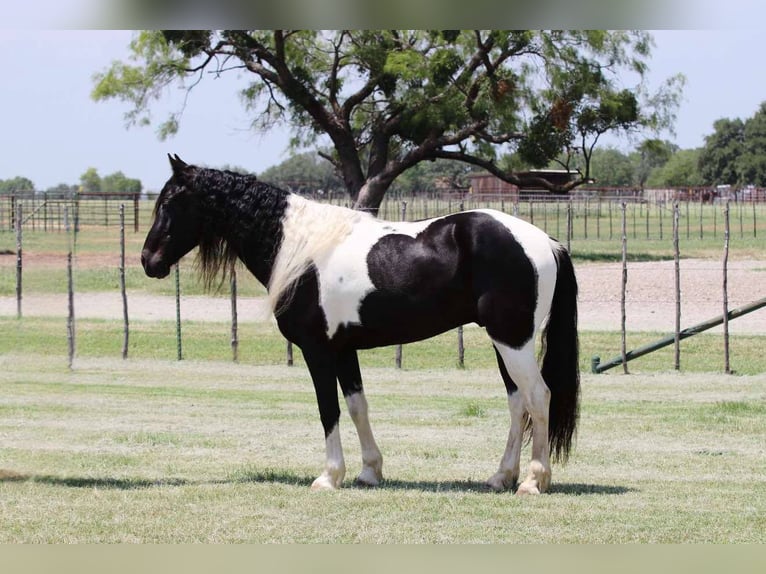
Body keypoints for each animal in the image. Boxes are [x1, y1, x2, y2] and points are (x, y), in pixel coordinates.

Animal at [141, 154, 580, 495]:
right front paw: (370, 471)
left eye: (171, 201)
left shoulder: (317, 350)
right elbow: (357, 406)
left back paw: (533, 481)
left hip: (513, 341)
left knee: (538, 396)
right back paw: (501, 476)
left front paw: (329, 477)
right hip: (504, 342)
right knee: (518, 402)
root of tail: (548, 242)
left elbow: (328, 410)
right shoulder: (344, 350)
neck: (300, 248)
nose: (148, 260)